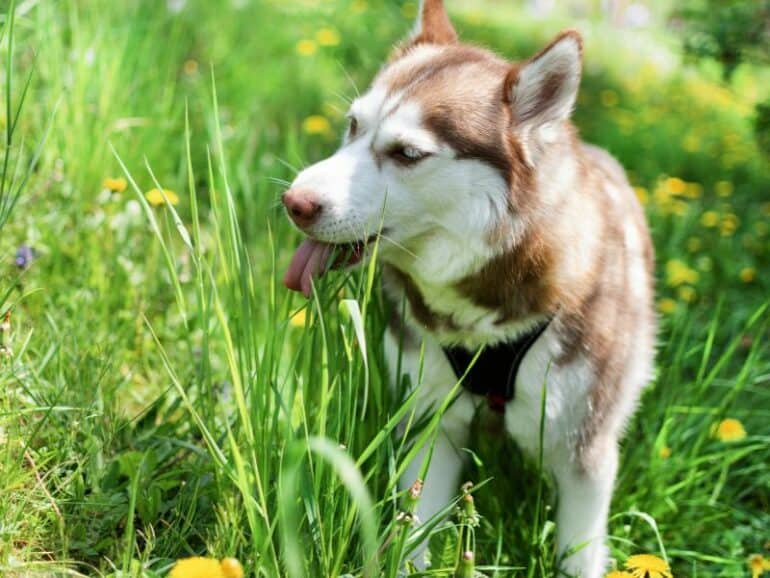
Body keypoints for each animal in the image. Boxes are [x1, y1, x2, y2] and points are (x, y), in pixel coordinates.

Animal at [282, 2, 656, 572]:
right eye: (353, 125)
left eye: (407, 153)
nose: (294, 202)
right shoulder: (430, 420)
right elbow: (413, 526)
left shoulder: (585, 451)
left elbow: (579, 550)